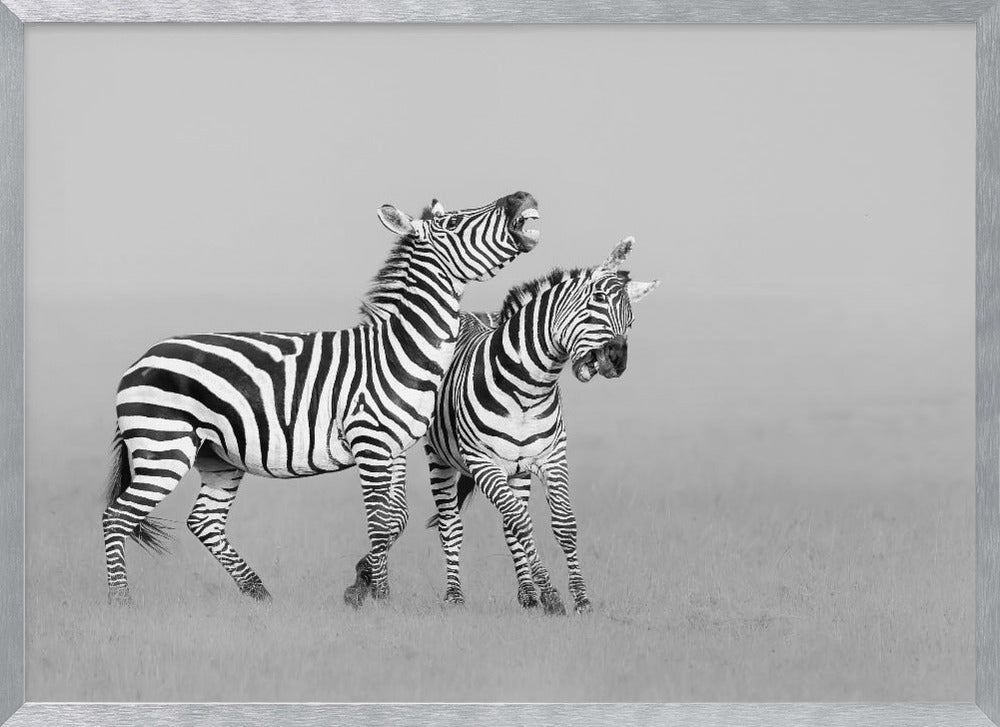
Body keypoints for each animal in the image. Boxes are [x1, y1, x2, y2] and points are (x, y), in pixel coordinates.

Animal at [102, 191, 541, 608]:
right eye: (453, 224)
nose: (521, 197)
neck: (400, 348)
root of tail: (139, 361)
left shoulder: (395, 448)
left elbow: (395, 518)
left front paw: (364, 583)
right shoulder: (371, 442)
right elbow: (379, 521)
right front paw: (381, 597)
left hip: (217, 457)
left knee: (203, 522)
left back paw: (258, 592)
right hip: (164, 447)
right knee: (116, 517)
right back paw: (122, 600)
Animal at [416, 236, 659, 614]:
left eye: (630, 321)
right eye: (596, 302)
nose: (618, 359)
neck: (528, 390)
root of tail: (468, 315)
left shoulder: (551, 458)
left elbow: (562, 525)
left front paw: (579, 598)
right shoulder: (483, 463)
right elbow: (522, 522)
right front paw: (553, 595)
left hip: (517, 470)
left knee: (508, 523)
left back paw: (527, 594)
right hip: (439, 458)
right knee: (451, 525)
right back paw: (455, 595)